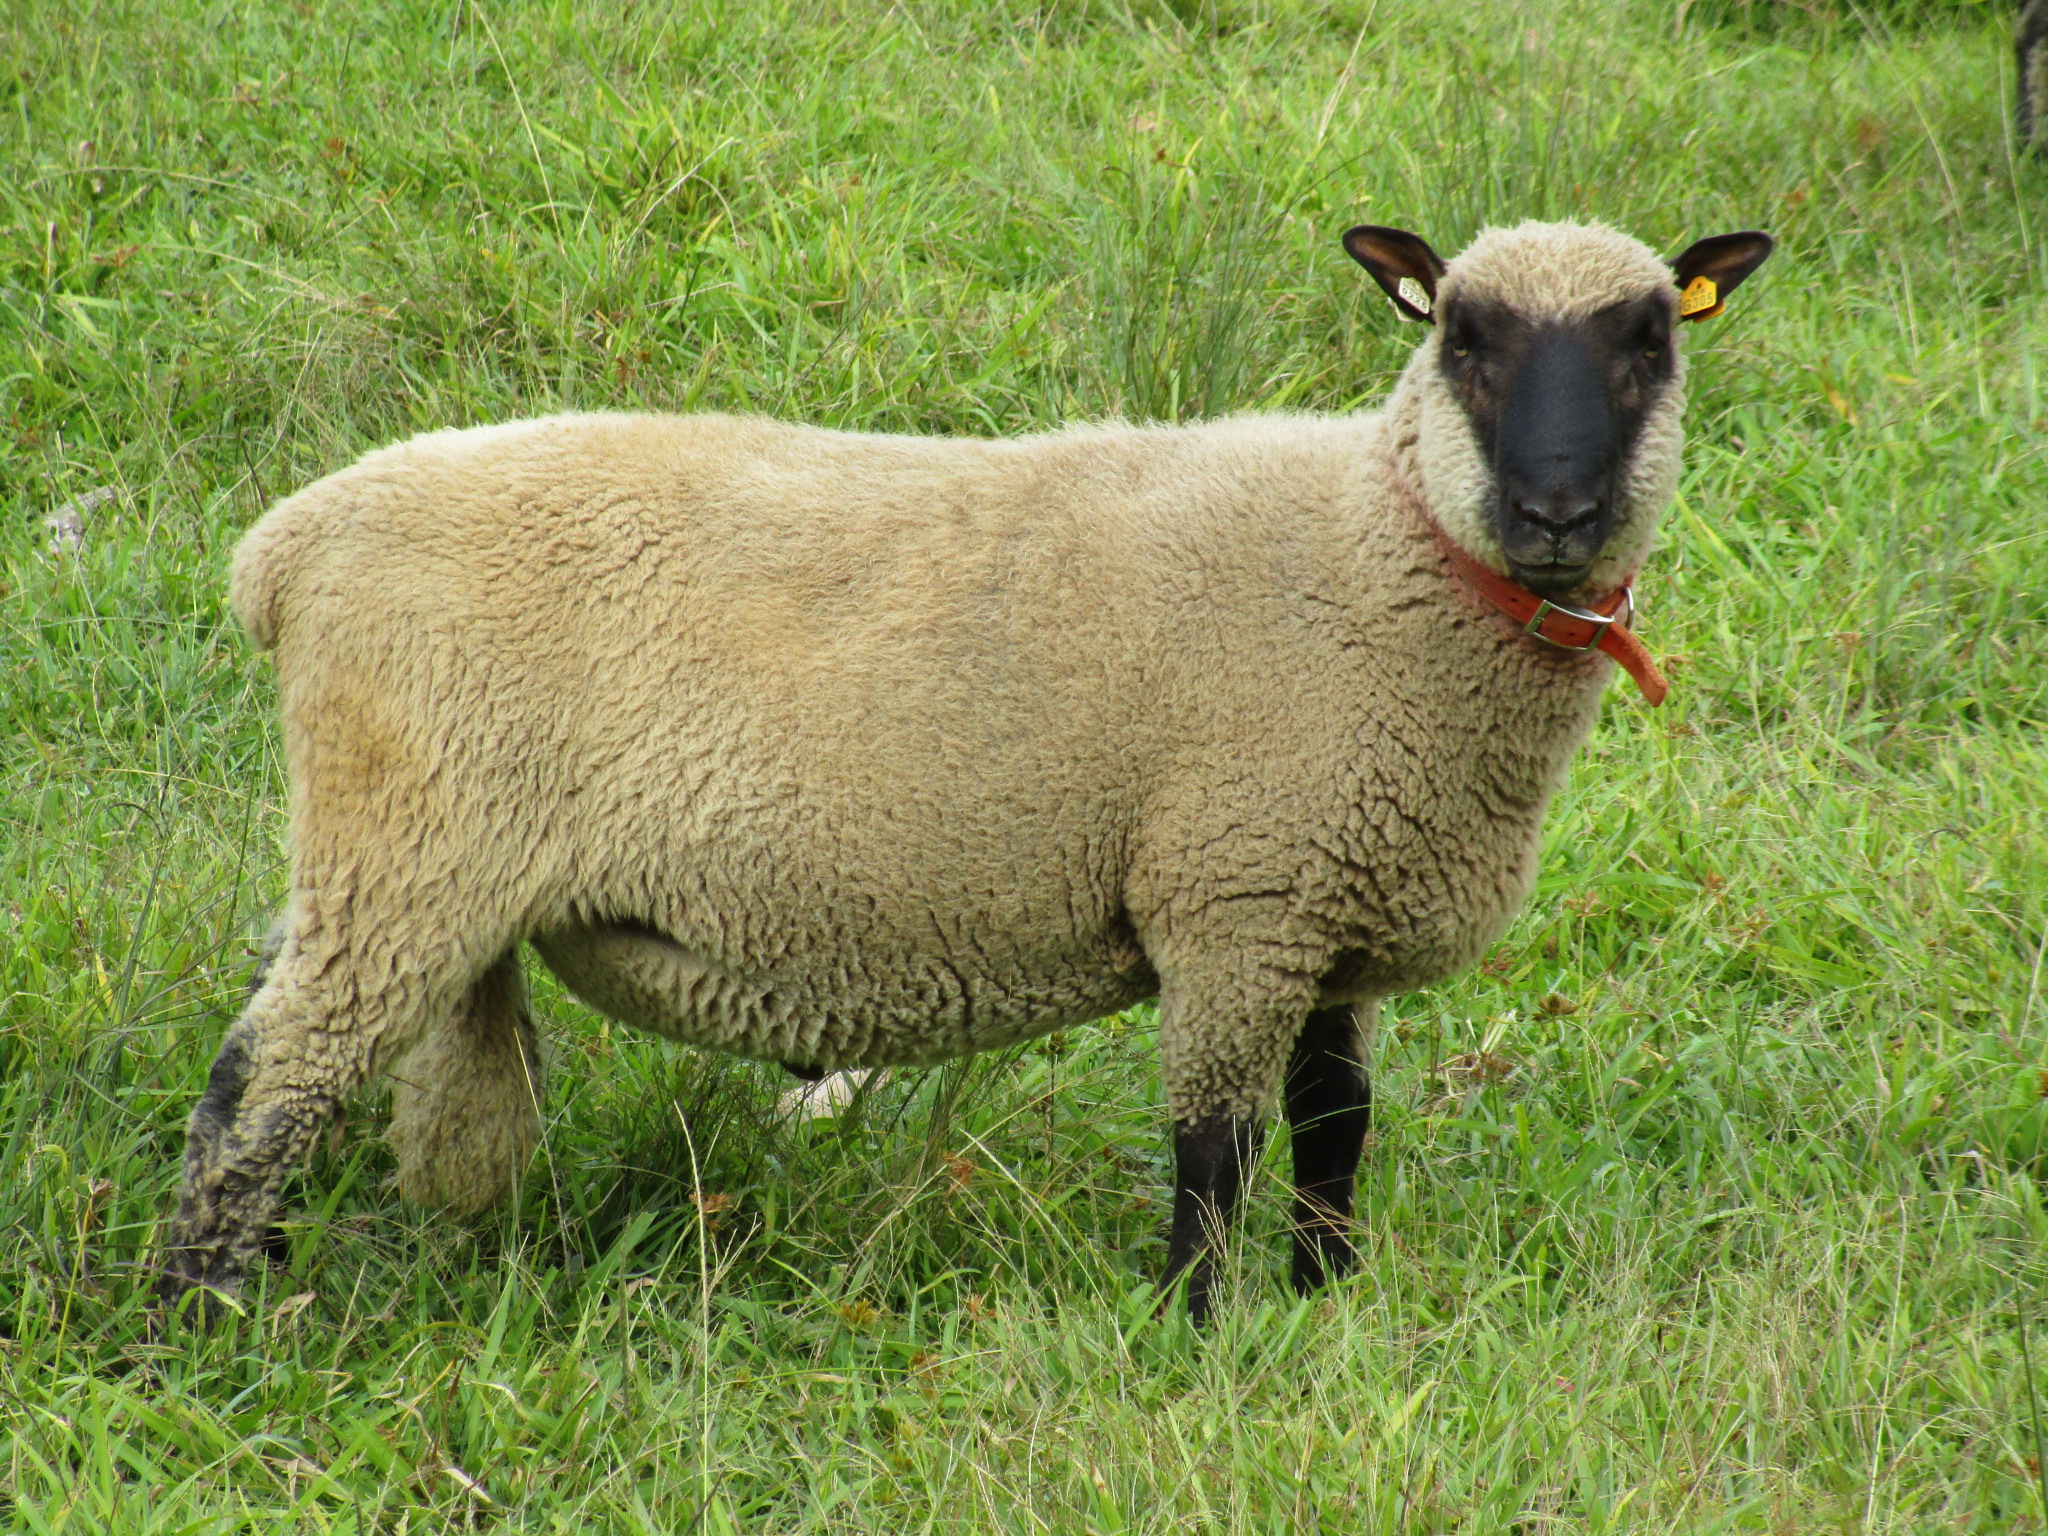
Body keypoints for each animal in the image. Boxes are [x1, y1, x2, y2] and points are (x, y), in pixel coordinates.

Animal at [159, 214, 1769, 1327]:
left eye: (1647, 342)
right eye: (1463, 340)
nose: (1554, 511)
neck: (1380, 550)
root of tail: (286, 547)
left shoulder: (1329, 907)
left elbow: (1332, 1134)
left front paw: (1326, 1306)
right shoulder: (1234, 901)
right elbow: (1216, 1148)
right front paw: (1197, 1336)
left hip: (381, 850)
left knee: (285, 1051)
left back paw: (262, 1276)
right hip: (418, 843)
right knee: (266, 1083)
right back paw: (209, 1323)